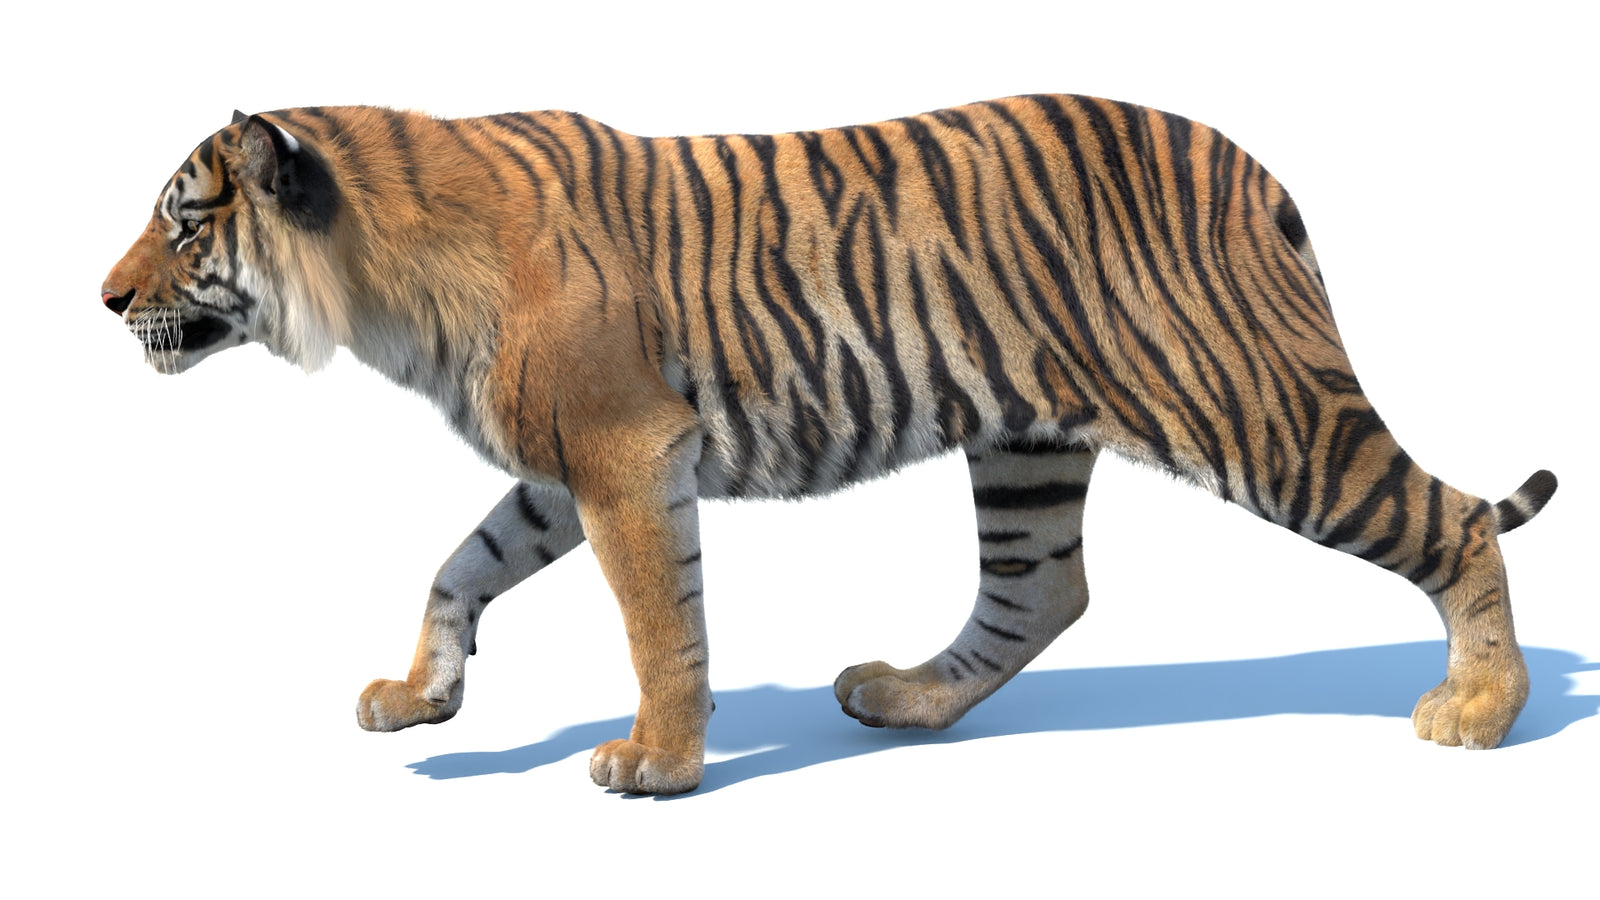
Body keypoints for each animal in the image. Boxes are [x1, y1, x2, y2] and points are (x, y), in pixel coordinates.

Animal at [102, 96, 1557, 794]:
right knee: (1041, 592)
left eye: (182, 222)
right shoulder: (563, 470)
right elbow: (458, 568)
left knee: (1449, 518)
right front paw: (423, 696)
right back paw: (901, 698)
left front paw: (657, 763)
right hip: (1026, 444)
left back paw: (1481, 712)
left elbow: (660, 621)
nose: (104, 299)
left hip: (1260, 409)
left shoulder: (628, 452)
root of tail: (1256, 168)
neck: (379, 283)